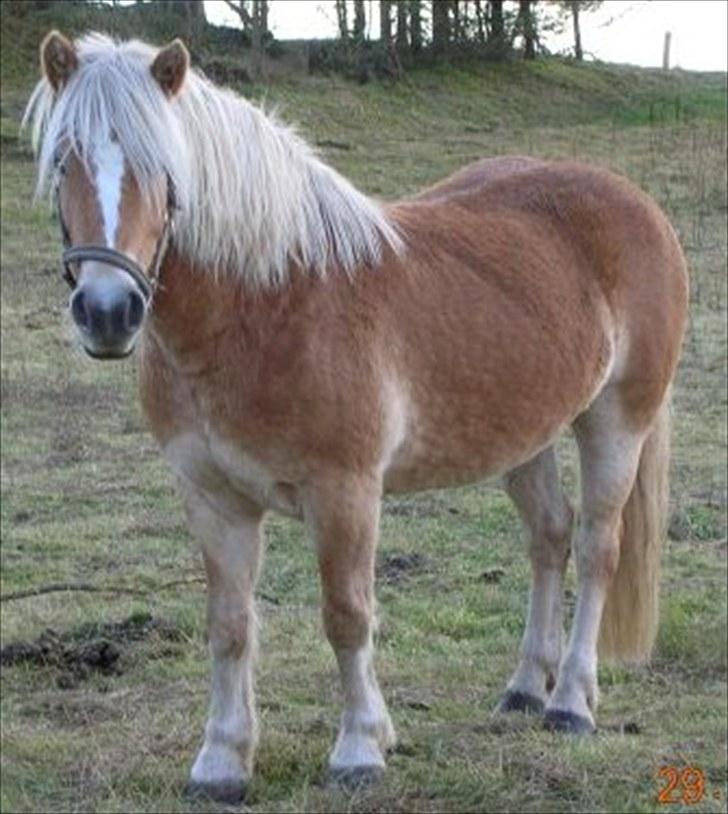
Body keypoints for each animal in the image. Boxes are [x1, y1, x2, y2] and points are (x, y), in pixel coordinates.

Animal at [25, 30, 688, 804]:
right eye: (63, 159)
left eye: (164, 167)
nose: (107, 312)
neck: (266, 302)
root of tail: (635, 203)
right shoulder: (212, 497)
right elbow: (229, 625)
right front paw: (221, 761)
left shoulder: (343, 490)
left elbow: (346, 616)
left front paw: (360, 750)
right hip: (525, 434)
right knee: (549, 540)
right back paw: (526, 687)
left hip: (617, 420)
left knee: (596, 546)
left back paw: (571, 703)